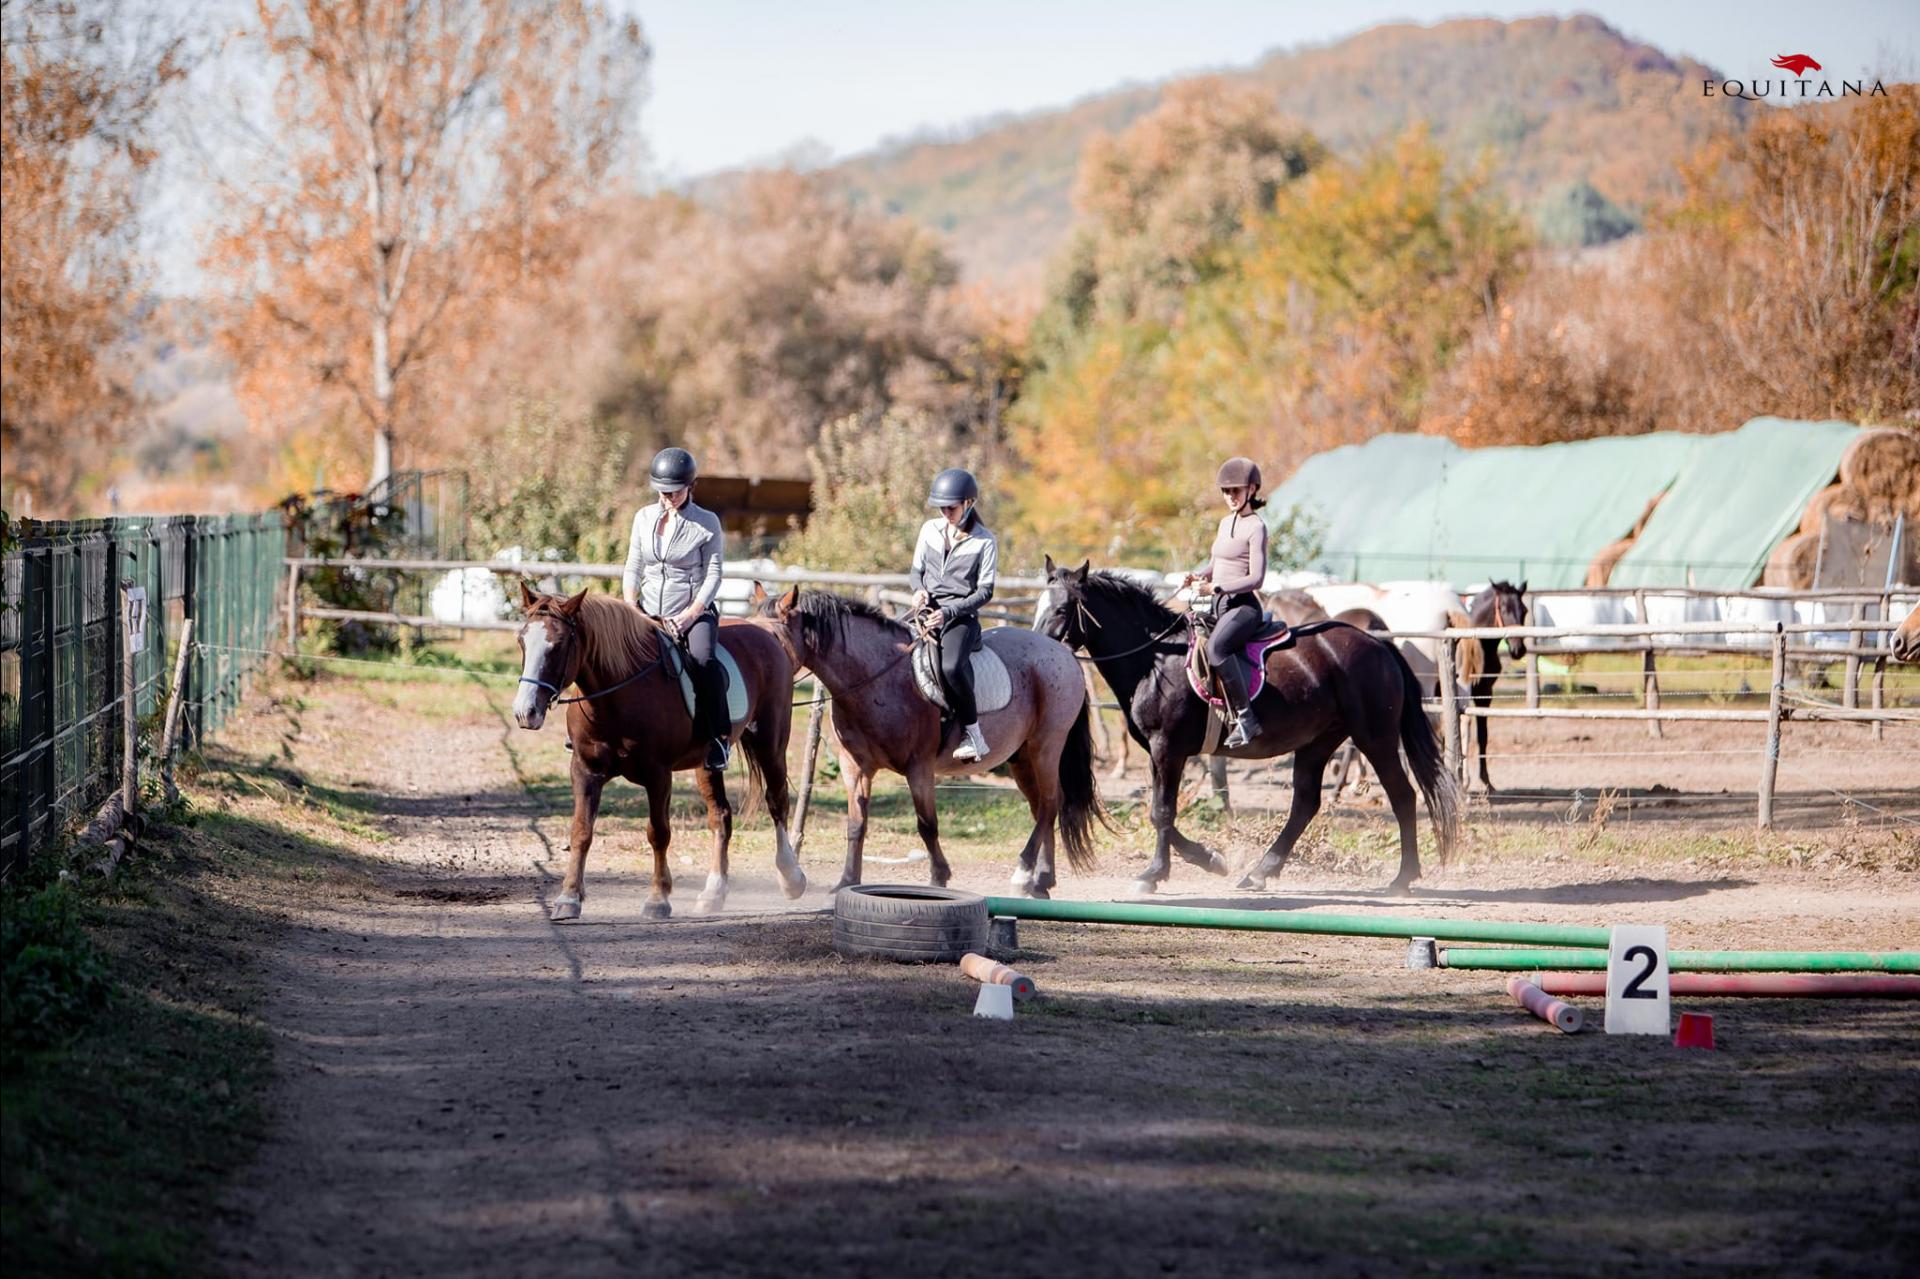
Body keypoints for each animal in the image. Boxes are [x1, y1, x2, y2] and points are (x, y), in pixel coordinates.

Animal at [510, 583, 802, 921]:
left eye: (557, 646)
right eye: (522, 640)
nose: (525, 712)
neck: (617, 694)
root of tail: (764, 632)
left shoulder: (658, 775)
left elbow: (658, 833)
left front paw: (658, 898)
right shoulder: (585, 770)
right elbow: (581, 831)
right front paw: (569, 898)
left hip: (771, 744)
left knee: (777, 802)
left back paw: (791, 878)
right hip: (707, 763)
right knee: (720, 816)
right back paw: (713, 893)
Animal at [756, 583, 1105, 891]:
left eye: (773, 637)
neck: (877, 678)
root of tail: (1062, 653)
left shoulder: (919, 768)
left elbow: (927, 825)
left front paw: (939, 878)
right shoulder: (855, 768)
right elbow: (856, 825)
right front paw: (846, 882)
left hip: (1046, 746)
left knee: (1049, 803)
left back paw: (1024, 873)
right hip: (1021, 758)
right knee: (1042, 808)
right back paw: (1042, 880)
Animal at [1044, 556, 1459, 894]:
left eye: (1062, 609)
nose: (1043, 648)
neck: (1156, 659)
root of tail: (1377, 643)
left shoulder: (1167, 748)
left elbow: (1161, 812)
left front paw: (1153, 874)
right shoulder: (1158, 752)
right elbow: (1159, 811)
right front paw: (1210, 859)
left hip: (1375, 737)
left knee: (1402, 795)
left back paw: (1403, 879)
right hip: (1319, 741)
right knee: (1305, 803)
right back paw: (1260, 872)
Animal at [1466, 576, 1528, 787]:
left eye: (1524, 610)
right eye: (1503, 608)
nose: (1518, 650)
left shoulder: (1484, 693)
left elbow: (1482, 736)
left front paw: (1486, 782)